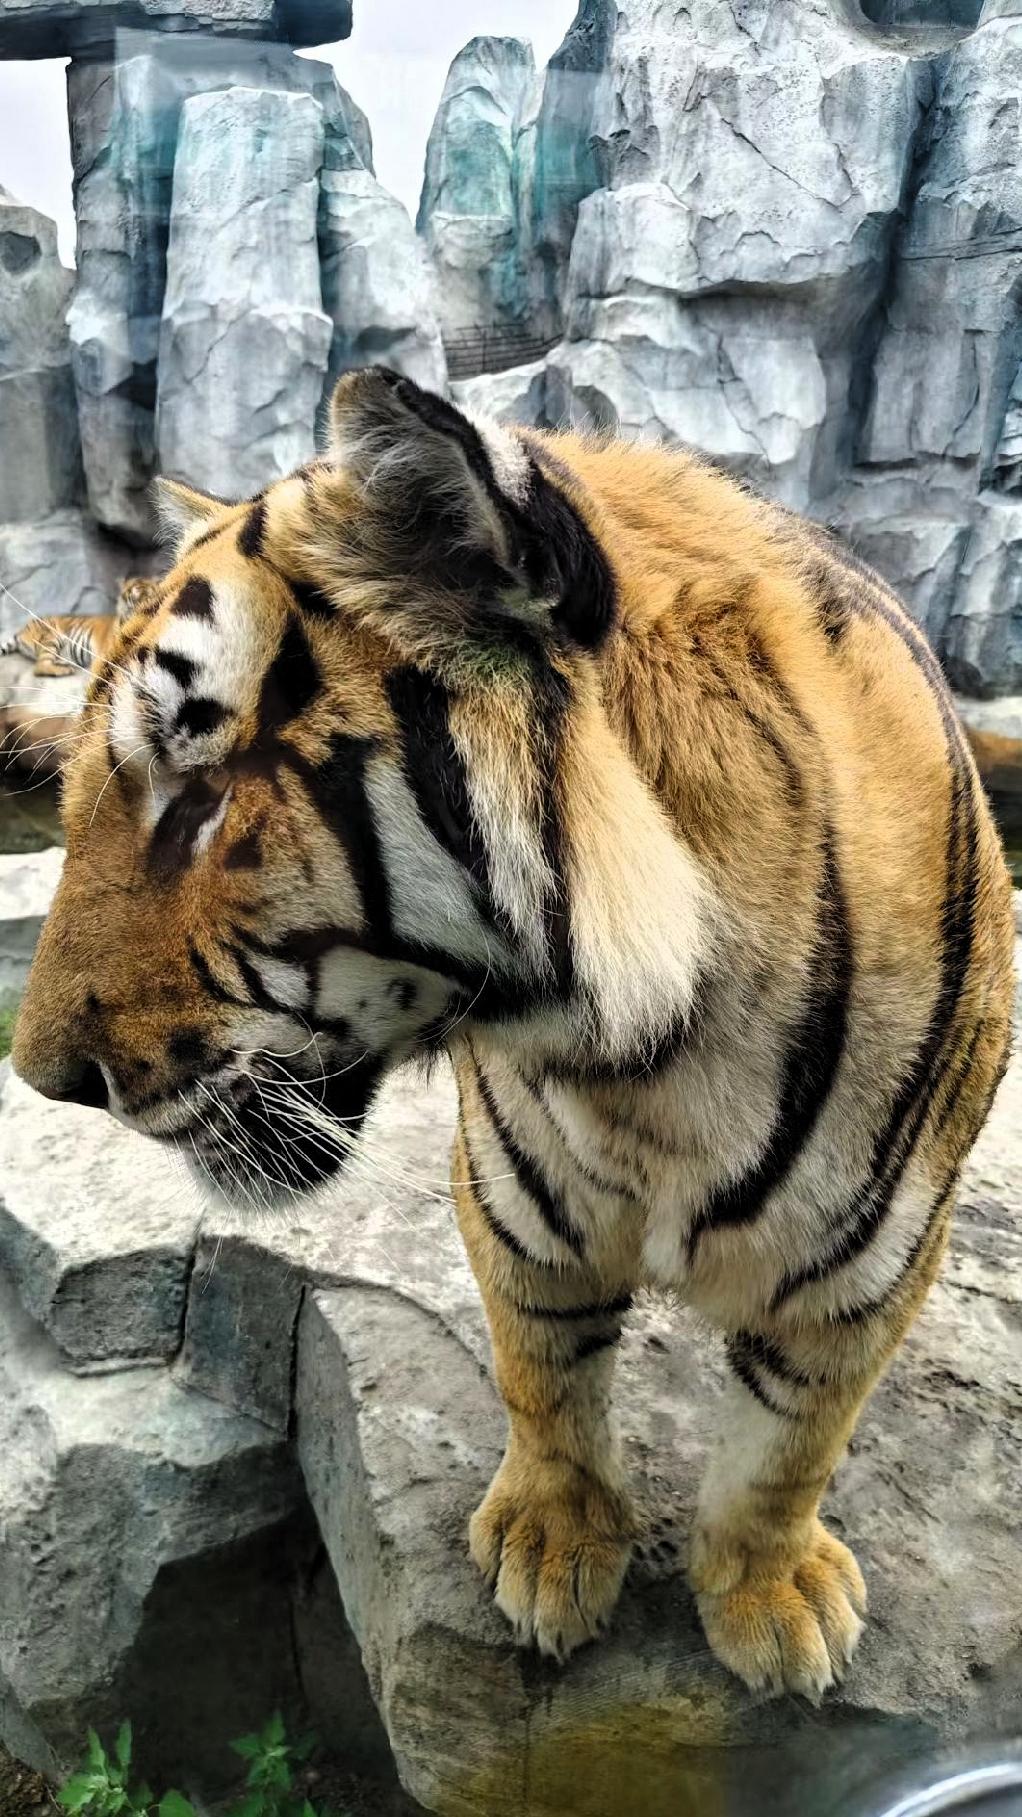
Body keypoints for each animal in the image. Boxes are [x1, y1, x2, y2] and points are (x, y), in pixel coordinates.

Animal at [13, 368, 1015, 1700]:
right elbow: (542, 1370)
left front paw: (766, 1593)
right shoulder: (514, 1192)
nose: (46, 1079)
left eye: (204, 792)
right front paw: (550, 1547)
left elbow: (790, 1439)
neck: (653, 1062)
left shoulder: (874, 1257)